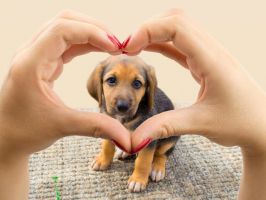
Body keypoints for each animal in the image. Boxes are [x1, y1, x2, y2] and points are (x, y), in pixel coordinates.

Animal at [88, 54, 180, 192]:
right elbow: (107, 146)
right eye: (111, 80)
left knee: (162, 153)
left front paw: (138, 180)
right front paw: (102, 160)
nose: (122, 107)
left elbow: (143, 161)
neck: (123, 119)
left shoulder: (148, 140)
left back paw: (157, 168)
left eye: (137, 83)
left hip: (169, 137)